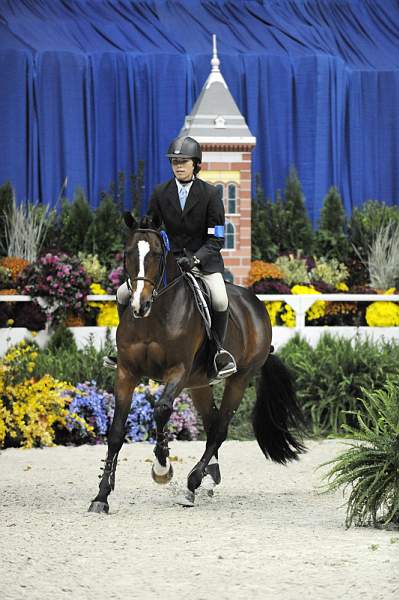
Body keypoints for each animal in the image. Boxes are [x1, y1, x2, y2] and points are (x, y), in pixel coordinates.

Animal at [88, 213, 306, 512]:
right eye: (128, 253)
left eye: (157, 254)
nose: (139, 305)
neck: (153, 317)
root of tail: (256, 305)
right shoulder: (126, 373)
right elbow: (116, 432)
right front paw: (101, 496)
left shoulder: (178, 372)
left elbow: (161, 410)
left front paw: (162, 469)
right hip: (199, 385)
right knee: (212, 423)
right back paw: (208, 479)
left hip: (239, 379)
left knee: (220, 429)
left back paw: (192, 483)